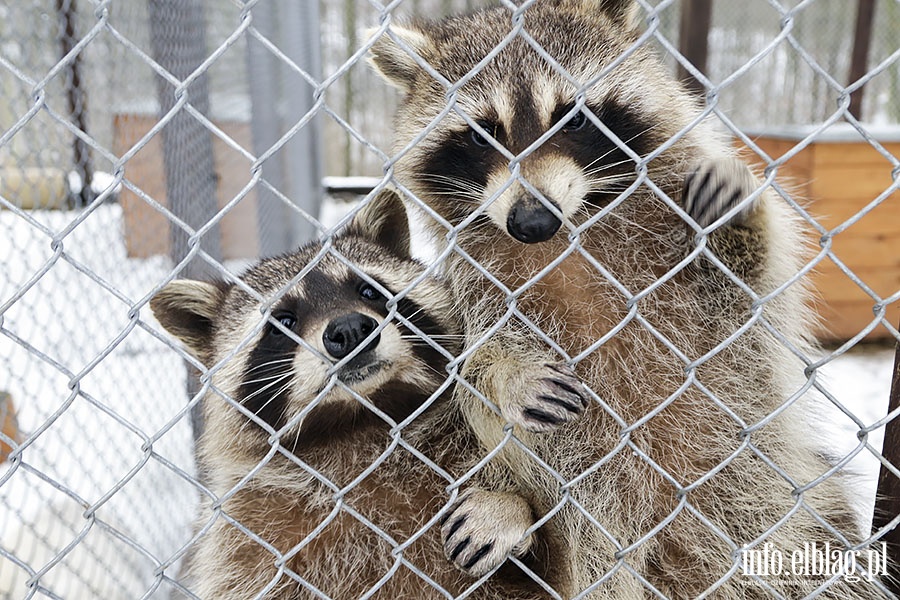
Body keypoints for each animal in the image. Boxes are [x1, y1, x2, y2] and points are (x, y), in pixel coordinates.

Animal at [149, 193, 552, 600]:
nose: (350, 329)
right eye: (283, 322)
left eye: (369, 291)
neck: (356, 422)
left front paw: (505, 508)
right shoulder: (246, 543)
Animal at [370, 2, 888, 596]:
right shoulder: (477, 280)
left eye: (572, 118)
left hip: (771, 505)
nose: (533, 222)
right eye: (482, 135)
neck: (573, 233)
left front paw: (740, 218)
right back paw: (513, 513)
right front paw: (509, 372)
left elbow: (754, 280)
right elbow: (471, 365)